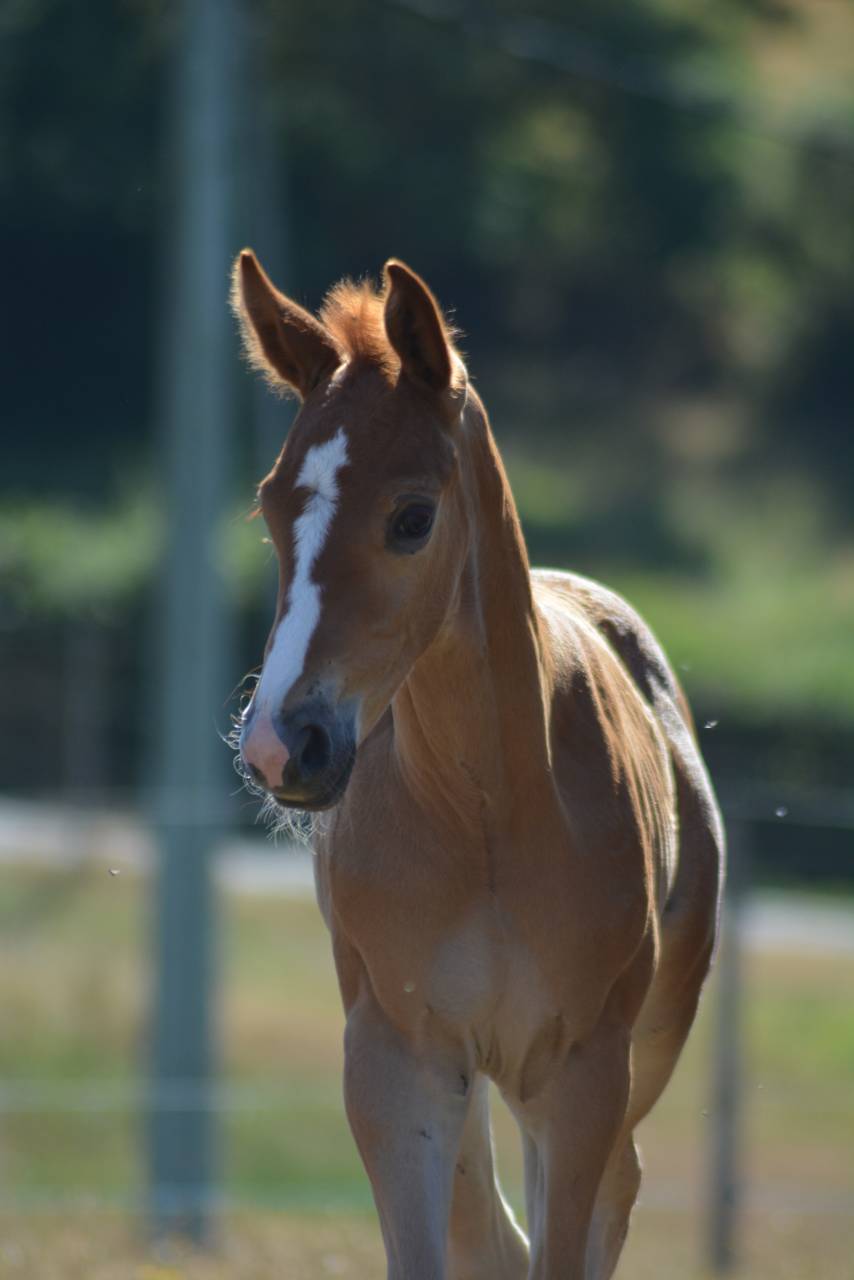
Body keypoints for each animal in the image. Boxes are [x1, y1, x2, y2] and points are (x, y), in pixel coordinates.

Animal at [231, 249, 724, 1280]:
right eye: (272, 509)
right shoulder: (398, 1065)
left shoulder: (580, 1077)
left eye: (413, 518)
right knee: (489, 1235)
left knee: (612, 1193)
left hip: (629, 1059)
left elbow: (567, 1244)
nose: (281, 744)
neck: (485, 807)